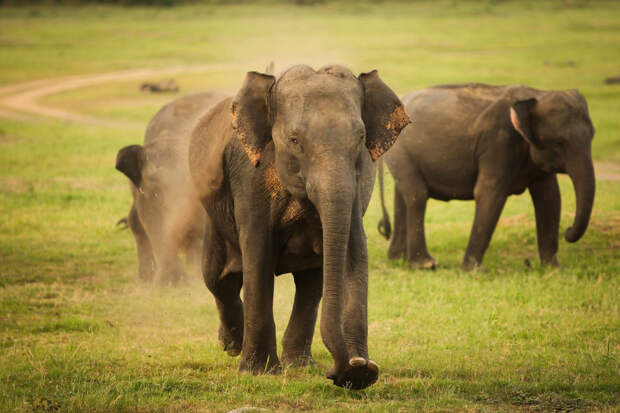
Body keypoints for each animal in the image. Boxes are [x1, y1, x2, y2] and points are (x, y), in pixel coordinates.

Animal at [188, 65, 412, 390]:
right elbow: (258, 257)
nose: (349, 367)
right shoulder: (250, 178)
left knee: (310, 282)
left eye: (360, 137)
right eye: (294, 140)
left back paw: (299, 363)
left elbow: (351, 253)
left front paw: (361, 372)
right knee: (218, 278)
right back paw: (232, 346)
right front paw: (258, 373)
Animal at [378, 83, 596, 270]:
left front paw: (554, 269)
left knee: (403, 195)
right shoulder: (497, 141)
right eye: (559, 143)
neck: (537, 94)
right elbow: (490, 193)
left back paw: (397, 260)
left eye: (593, 136)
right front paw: (473, 270)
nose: (568, 232)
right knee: (417, 195)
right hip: (401, 151)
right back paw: (426, 265)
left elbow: (549, 197)